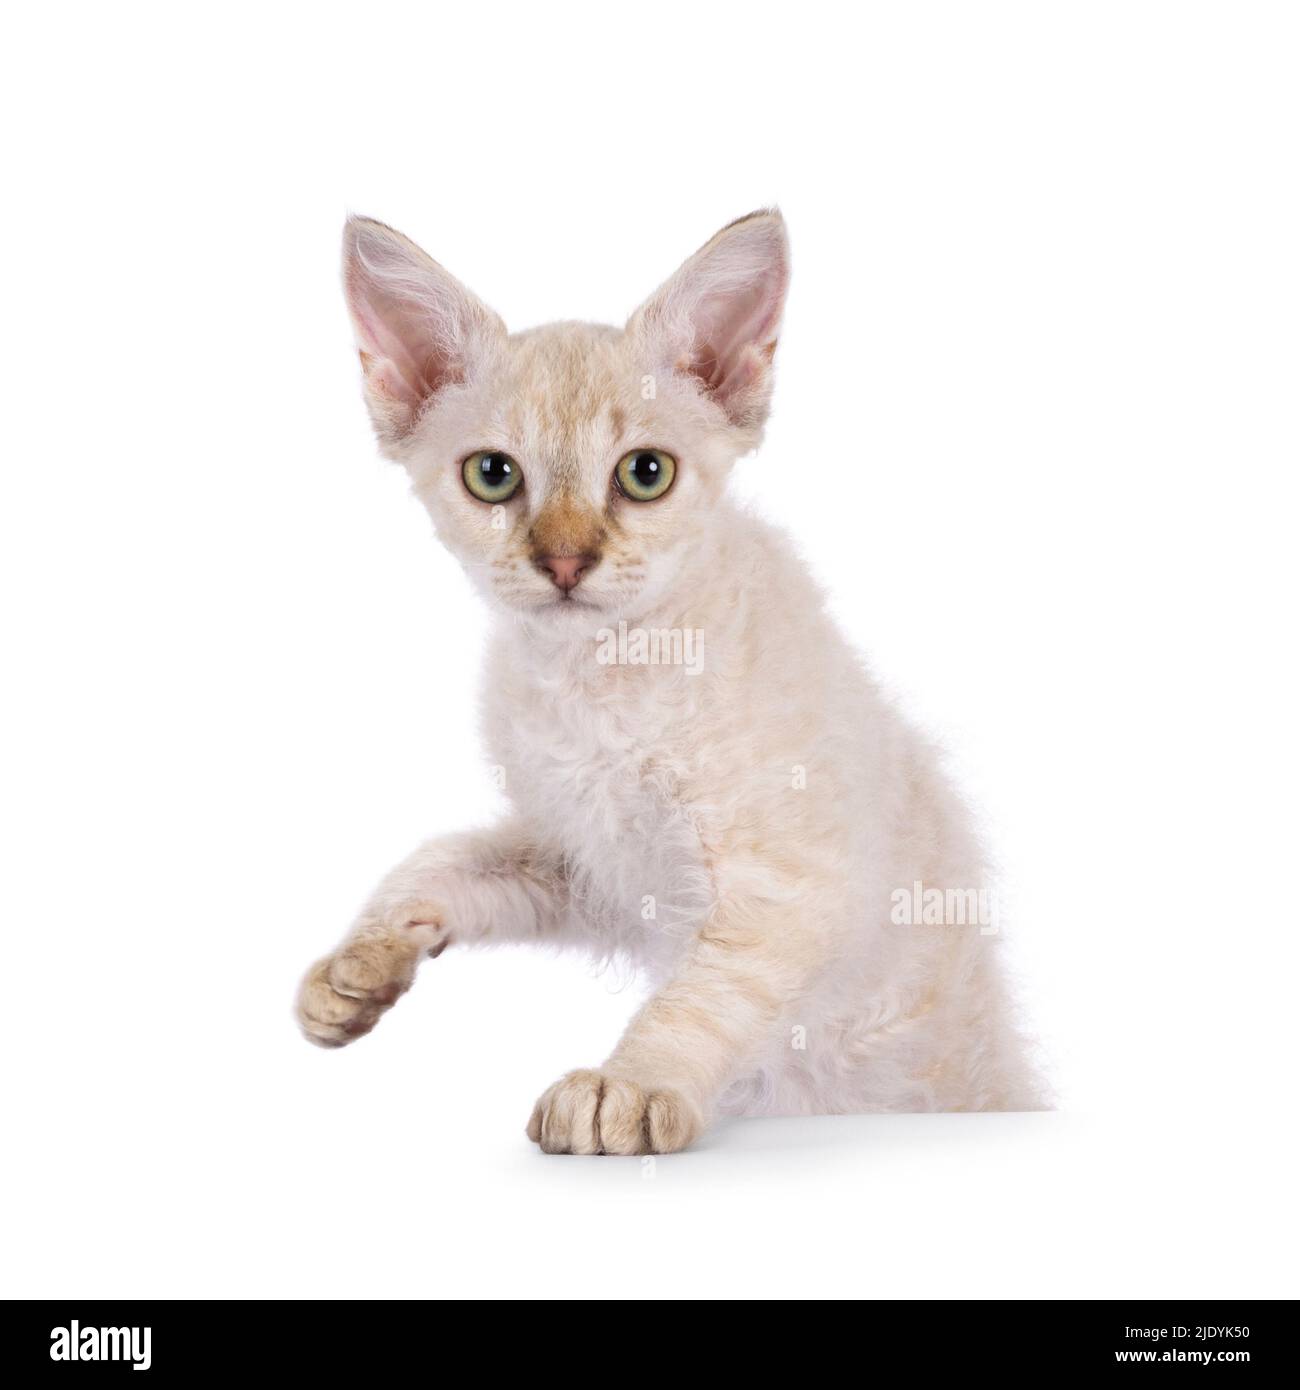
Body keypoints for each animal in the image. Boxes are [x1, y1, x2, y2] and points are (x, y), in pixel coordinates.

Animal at [297, 211, 1045, 1156]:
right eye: (492, 476)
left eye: (644, 473)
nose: (565, 562)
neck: (601, 677)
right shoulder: (588, 860)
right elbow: (446, 857)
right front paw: (361, 964)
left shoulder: (790, 883)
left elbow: (704, 997)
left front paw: (628, 1085)